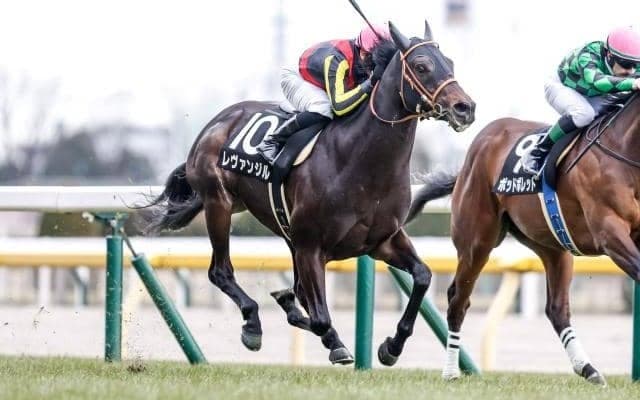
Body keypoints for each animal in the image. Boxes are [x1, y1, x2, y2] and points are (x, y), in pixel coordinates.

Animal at [143, 20, 475, 366]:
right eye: (421, 66)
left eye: (449, 63)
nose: (465, 108)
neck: (363, 165)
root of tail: (216, 123)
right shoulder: (311, 247)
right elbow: (320, 319)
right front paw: (332, 340)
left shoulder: (382, 241)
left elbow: (422, 276)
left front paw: (391, 346)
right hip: (218, 203)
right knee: (220, 271)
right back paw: (253, 323)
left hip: (259, 218)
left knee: (293, 291)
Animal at [406, 93, 640, 384]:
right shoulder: (610, 233)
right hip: (477, 243)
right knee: (458, 300)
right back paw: (450, 372)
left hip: (553, 247)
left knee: (557, 308)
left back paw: (588, 368)